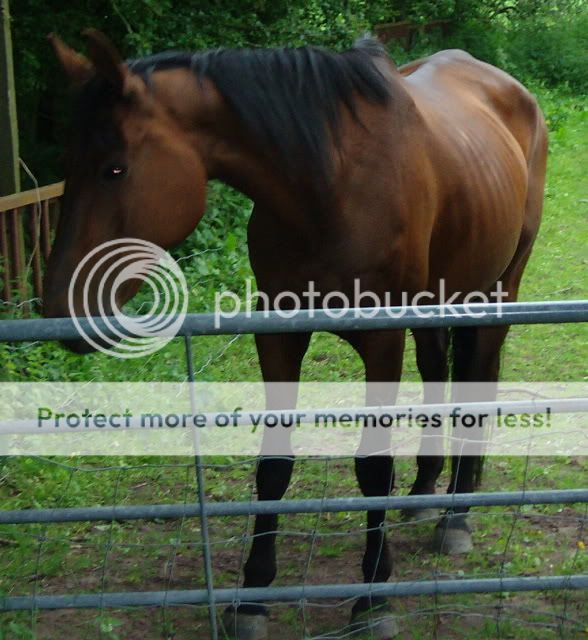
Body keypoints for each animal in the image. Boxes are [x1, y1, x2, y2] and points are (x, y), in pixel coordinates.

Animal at [44, 30, 548, 640]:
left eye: (115, 169)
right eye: (68, 166)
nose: (58, 309)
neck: (329, 184)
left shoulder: (382, 341)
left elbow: (372, 465)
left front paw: (372, 598)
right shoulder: (278, 335)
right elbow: (274, 463)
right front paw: (254, 596)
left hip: (498, 289)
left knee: (479, 381)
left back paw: (457, 514)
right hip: (438, 300)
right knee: (437, 375)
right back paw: (425, 494)